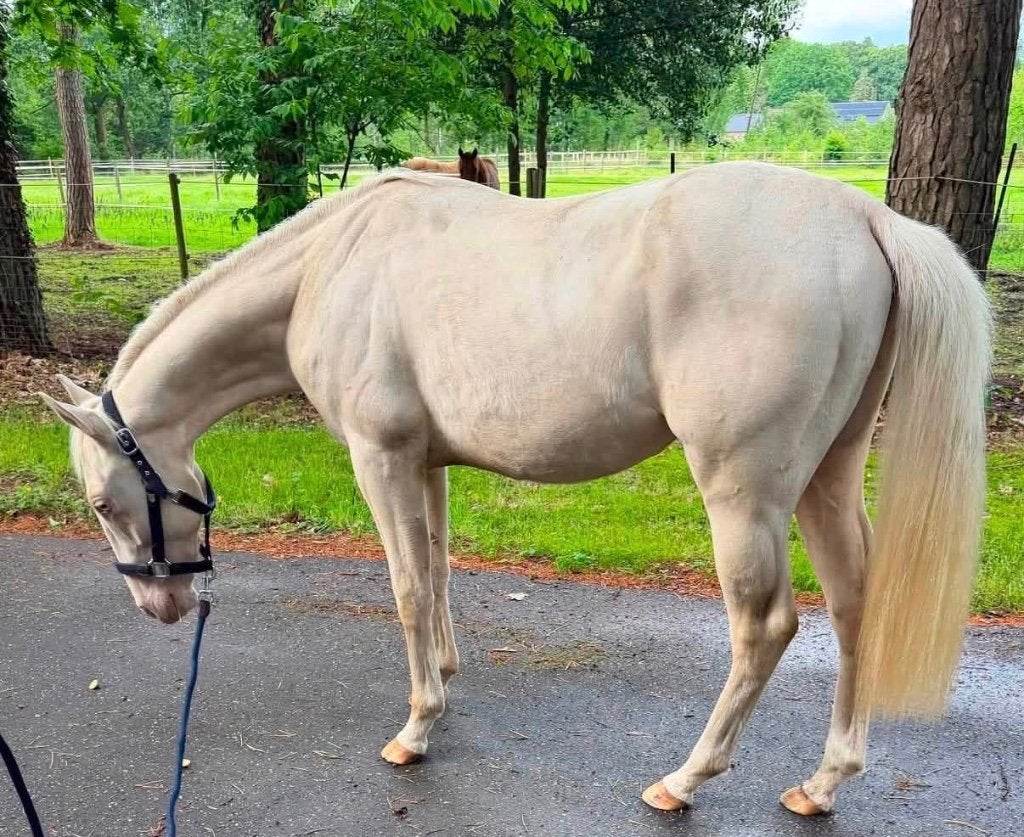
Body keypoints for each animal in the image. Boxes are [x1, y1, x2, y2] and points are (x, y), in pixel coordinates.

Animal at [42, 162, 989, 818]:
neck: (328, 264)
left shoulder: (380, 458)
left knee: (766, 626)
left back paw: (684, 779)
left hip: (744, 492)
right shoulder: (424, 461)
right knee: (856, 602)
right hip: (828, 476)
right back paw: (824, 782)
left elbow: (407, 584)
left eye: (100, 502)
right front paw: (446, 681)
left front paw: (416, 728)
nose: (162, 606)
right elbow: (439, 571)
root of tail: (864, 217)